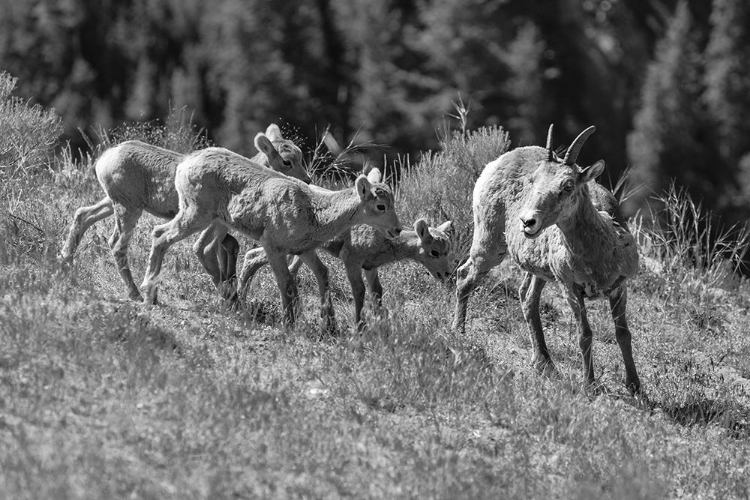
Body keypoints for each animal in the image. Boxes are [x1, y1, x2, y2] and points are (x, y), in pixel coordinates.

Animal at [55, 123, 308, 300]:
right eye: (287, 161)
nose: (308, 180)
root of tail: (104, 159)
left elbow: (231, 247)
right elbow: (217, 248)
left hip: (113, 201)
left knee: (83, 215)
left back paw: (65, 263)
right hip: (128, 208)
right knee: (116, 243)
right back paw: (137, 294)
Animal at [139, 146, 402, 330]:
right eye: (380, 206)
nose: (397, 229)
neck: (314, 211)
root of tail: (185, 164)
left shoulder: (304, 250)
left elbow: (322, 276)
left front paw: (330, 326)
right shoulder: (273, 246)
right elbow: (286, 284)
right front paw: (290, 325)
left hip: (215, 220)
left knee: (199, 247)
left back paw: (228, 299)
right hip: (196, 213)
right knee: (161, 235)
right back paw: (149, 293)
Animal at [241, 218, 456, 326]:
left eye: (448, 250)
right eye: (434, 252)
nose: (447, 274)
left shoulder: (370, 267)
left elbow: (377, 291)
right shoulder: (351, 260)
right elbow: (359, 291)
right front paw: (359, 326)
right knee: (253, 256)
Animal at [452, 125, 640, 394]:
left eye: (568, 185)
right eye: (534, 181)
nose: (527, 221)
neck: (600, 255)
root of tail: (495, 163)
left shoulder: (619, 287)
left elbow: (623, 333)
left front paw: (635, 386)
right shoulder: (570, 288)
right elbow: (585, 334)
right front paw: (589, 385)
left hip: (538, 270)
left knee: (527, 297)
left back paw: (545, 363)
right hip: (489, 244)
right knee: (464, 276)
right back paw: (459, 332)